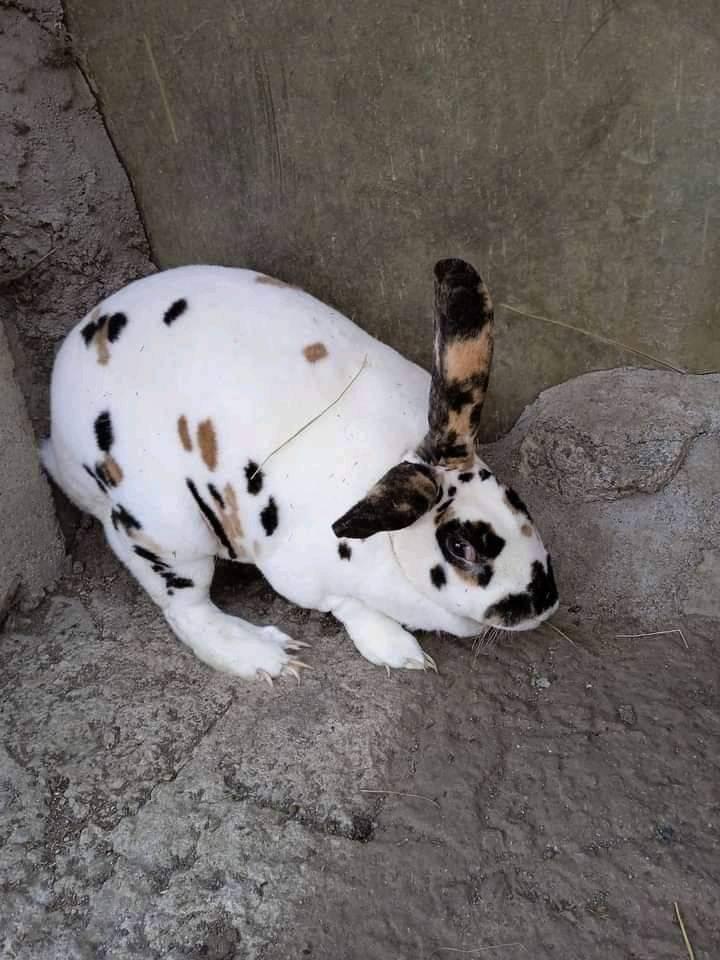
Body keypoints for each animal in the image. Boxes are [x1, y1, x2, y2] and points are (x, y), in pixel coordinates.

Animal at [41, 257, 558, 681]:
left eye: (516, 500)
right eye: (460, 547)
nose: (546, 602)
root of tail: (58, 441)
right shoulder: (299, 573)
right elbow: (349, 607)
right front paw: (401, 652)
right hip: (164, 534)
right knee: (187, 609)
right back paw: (269, 659)